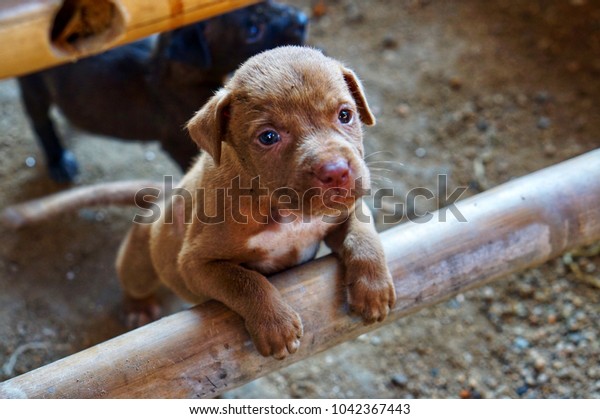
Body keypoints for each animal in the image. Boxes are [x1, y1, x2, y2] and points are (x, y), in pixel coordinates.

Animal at [17, 0, 310, 183]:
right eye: (252, 30)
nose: (304, 19)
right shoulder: (180, 143)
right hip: (33, 86)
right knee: (40, 122)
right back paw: (58, 162)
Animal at [118, 47, 396, 360]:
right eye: (268, 137)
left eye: (345, 115)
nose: (336, 171)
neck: (287, 212)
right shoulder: (195, 263)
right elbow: (245, 281)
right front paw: (275, 325)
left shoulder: (345, 211)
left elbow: (362, 236)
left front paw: (373, 289)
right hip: (141, 260)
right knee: (134, 280)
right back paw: (137, 307)